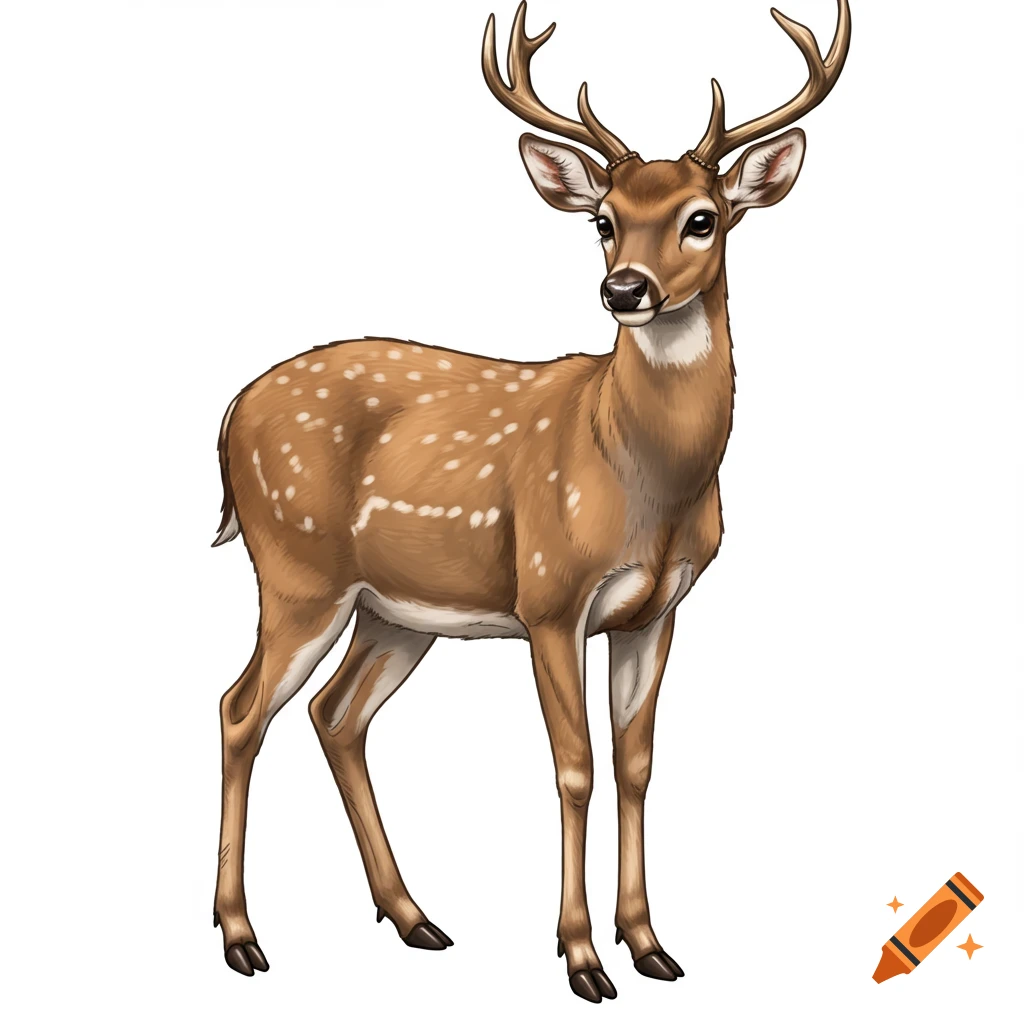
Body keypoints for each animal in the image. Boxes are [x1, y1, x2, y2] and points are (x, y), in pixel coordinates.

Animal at [211, 0, 851, 1002]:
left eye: (702, 218)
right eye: (603, 221)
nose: (625, 289)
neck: (642, 480)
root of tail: (230, 414)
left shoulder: (656, 608)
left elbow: (636, 763)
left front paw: (651, 943)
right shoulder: (551, 595)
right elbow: (575, 767)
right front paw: (582, 957)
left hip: (394, 609)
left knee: (336, 716)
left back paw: (415, 918)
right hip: (297, 568)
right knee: (240, 711)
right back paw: (242, 937)